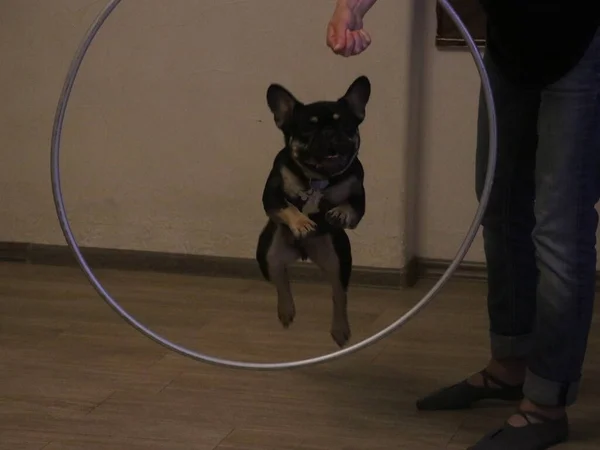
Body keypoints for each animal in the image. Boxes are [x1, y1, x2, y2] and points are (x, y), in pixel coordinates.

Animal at [254, 75, 368, 346]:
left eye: (346, 125)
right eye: (308, 128)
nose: (328, 132)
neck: (317, 177)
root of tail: (303, 253)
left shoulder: (359, 194)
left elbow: (352, 207)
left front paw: (341, 213)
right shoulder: (271, 196)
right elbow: (287, 206)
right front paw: (302, 222)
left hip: (338, 259)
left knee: (338, 293)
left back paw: (340, 329)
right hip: (267, 255)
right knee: (280, 280)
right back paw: (286, 310)